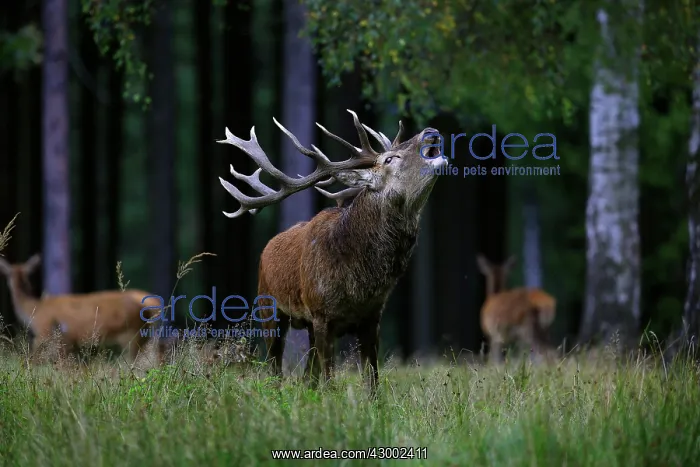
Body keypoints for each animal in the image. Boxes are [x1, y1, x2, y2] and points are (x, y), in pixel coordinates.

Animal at [0, 254, 165, 365]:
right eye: (10, 274)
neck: (33, 310)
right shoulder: (66, 341)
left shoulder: (44, 331)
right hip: (146, 335)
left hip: (132, 333)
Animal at [216, 109, 447, 394]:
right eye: (390, 158)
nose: (430, 131)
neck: (358, 282)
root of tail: (266, 249)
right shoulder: (321, 314)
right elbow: (329, 380)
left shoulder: (372, 316)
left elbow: (372, 380)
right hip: (268, 307)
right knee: (275, 368)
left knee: (307, 375)